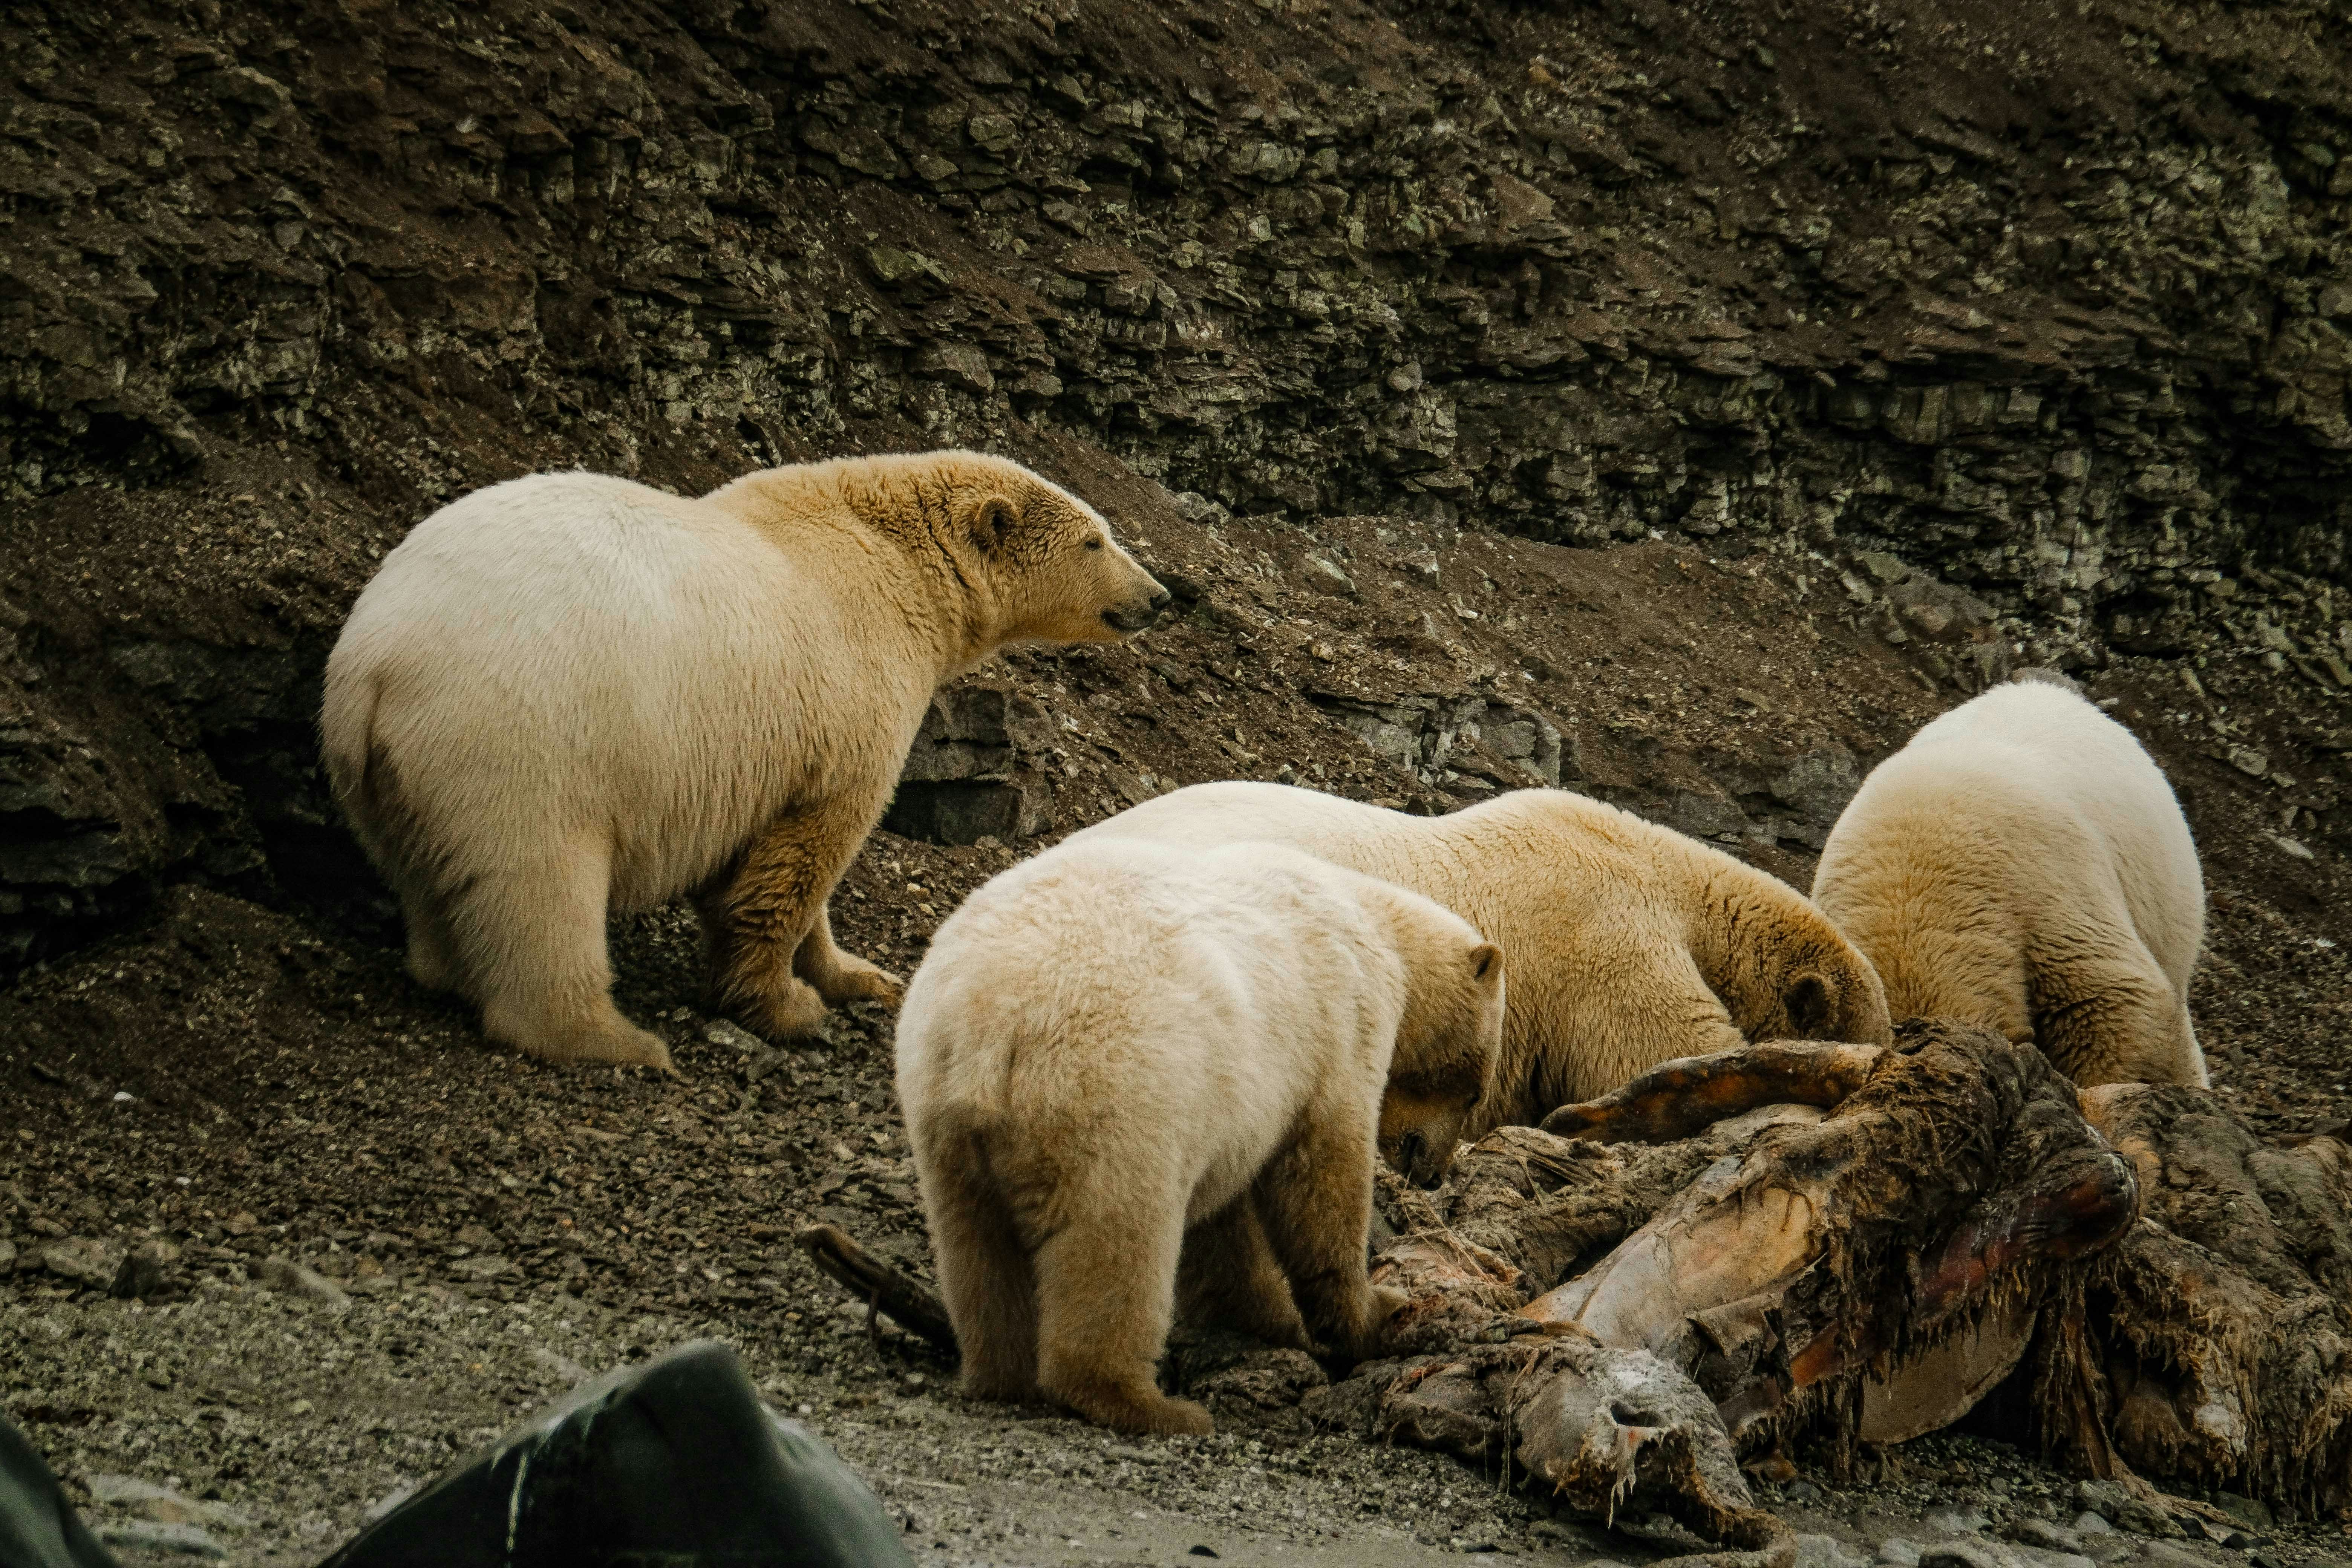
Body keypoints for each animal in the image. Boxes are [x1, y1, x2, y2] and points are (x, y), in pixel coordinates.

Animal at [321, 450, 1169, 1071]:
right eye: (1096, 540)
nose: (1162, 596)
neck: (896, 558)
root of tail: (375, 665)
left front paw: (859, 973)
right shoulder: (844, 696)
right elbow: (802, 858)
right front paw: (784, 1005)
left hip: (391, 773)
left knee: (426, 871)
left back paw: (443, 967)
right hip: (522, 738)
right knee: (541, 885)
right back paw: (615, 1039)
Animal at [895, 836, 1505, 1436]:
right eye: (1474, 1092)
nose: (1434, 1173)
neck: (1380, 929)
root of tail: (991, 1024)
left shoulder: (1235, 1107)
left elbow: (1226, 1226)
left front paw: (1270, 1317)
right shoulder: (1342, 1027)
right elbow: (1321, 1179)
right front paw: (1379, 1311)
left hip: (940, 1109)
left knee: (975, 1244)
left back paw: (1002, 1371)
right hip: (1117, 1093)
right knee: (1118, 1240)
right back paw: (1147, 1404)